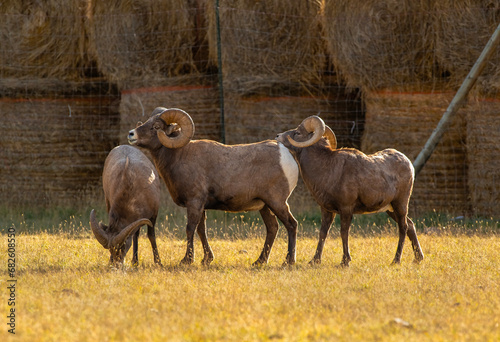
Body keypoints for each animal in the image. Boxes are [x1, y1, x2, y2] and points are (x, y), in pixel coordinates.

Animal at [127, 108, 298, 266]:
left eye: (156, 126)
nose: (131, 134)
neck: (179, 156)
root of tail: (286, 155)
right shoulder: (201, 206)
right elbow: (201, 230)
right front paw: (206, 259)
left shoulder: (194, 202)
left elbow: (190, 228)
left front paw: (187, 260)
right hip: (265, 206)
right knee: (272, 228)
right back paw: (259, 261)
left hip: (277, 202)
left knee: (291, 225)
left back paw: (288, 261)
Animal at [276, 116, 424, 266]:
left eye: (297, 133)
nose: (277, 136)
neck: (327, 169)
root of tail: (408, 164)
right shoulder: (327, 210)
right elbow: (323, 233)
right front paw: (314, 261)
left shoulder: (346, 209)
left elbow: (344, 233)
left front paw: (345, 261)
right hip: (390, 209)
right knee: (410, 225)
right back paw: (418, 258)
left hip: (400, 204)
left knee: (403, 228)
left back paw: (396, 260)